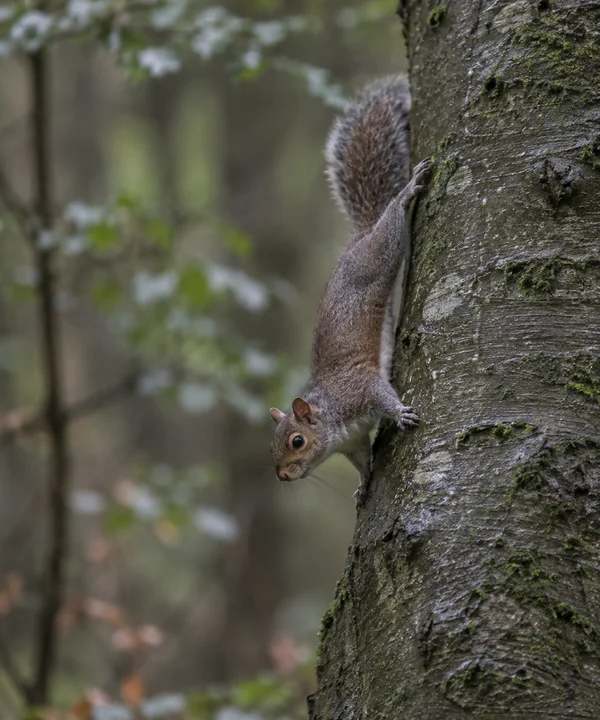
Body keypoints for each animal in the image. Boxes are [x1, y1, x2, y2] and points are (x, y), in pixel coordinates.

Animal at [269, 76, 432, 508]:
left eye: (297, 441)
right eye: (270, 445)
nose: (282, 476)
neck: (334, 424)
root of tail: (362, 231)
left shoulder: (361, 390)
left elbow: (384, 395)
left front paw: (401, 414)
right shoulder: (354, 443)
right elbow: (363, 461)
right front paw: (362, 485)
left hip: (379, 253)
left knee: (391, 221)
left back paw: (407, 192)